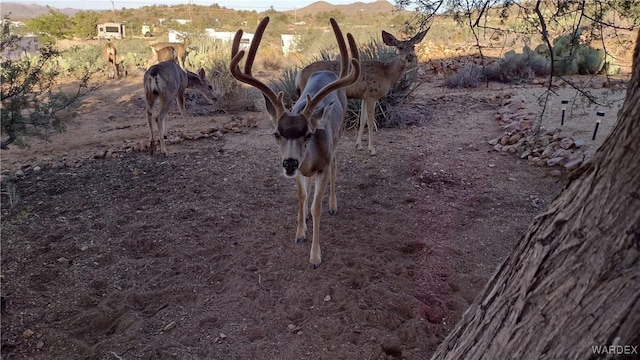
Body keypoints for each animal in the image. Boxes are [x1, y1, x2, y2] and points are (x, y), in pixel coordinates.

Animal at [230, 17, 360, 270]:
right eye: (276, 134)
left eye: (309, 134)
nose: (289, 163)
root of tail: (325, 71)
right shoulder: (301, 171)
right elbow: (301, 196)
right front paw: (300, 232)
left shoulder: (321, 166)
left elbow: (317, 206)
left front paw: (315, 256)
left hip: (338, 135)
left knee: (335, 165)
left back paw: (333, 205)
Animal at [296, 26, 428, 154]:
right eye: (400, 47)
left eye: (413, 46)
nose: (410, 56)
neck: (387, 74)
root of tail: (300, 74)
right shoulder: (372, 95)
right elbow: (371, 122)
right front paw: (372, 149)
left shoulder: (364, 96)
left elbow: (363, 120)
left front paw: (358, 145)